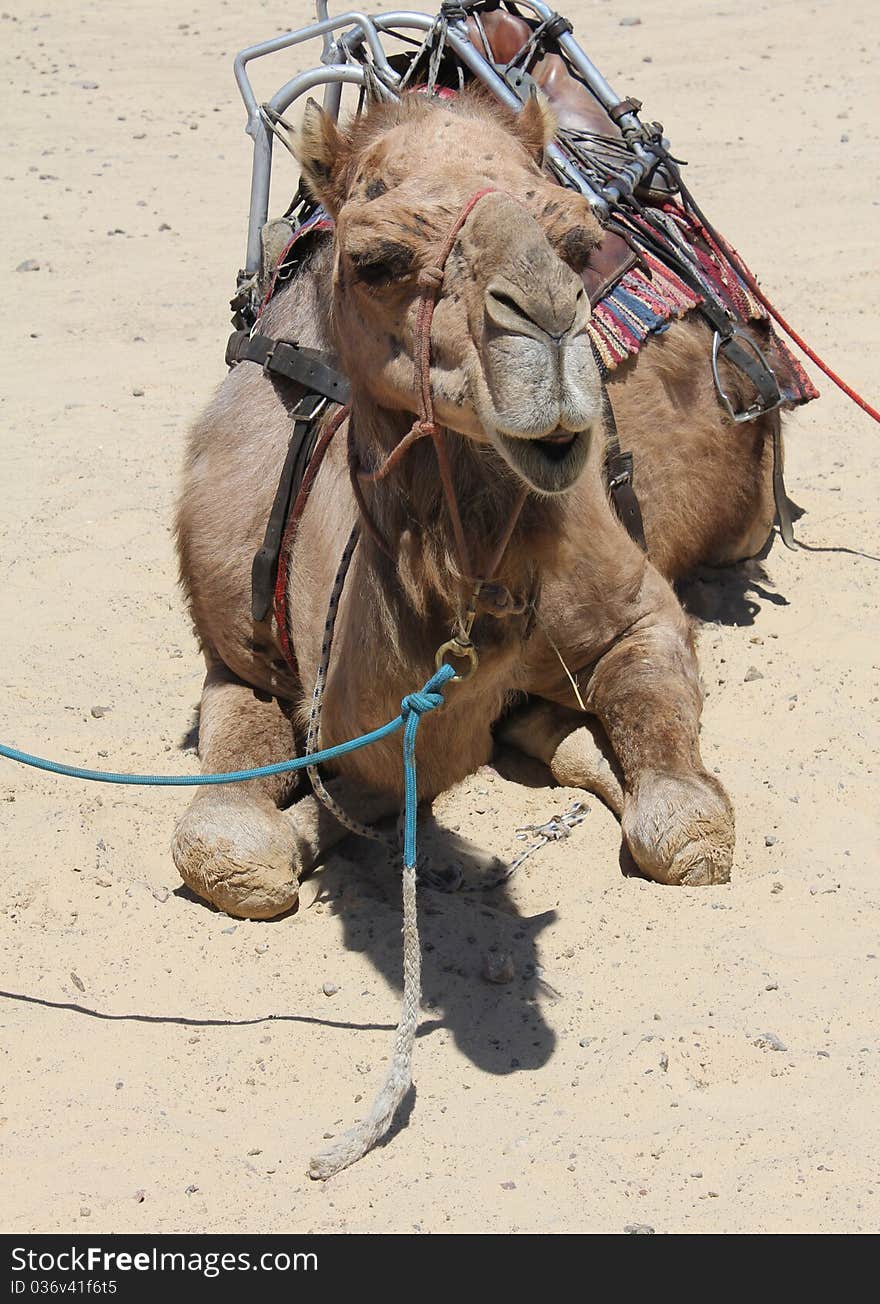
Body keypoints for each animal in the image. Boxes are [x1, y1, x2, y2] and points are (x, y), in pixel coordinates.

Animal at [172, 89, 787, 918]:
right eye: (376, 262)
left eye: (578, 243)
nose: (550, 325)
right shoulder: (233, 655)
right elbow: (229, 842)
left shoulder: (642, 610)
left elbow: (684, 829)